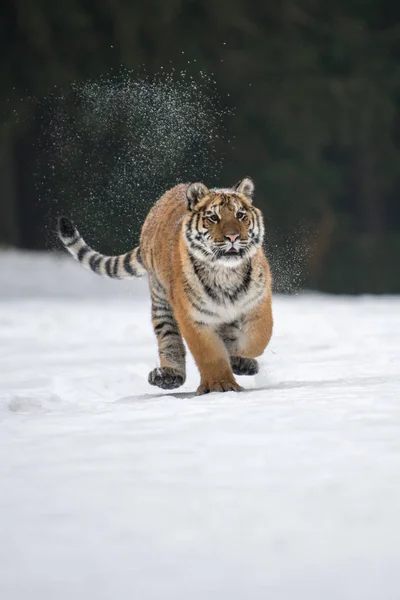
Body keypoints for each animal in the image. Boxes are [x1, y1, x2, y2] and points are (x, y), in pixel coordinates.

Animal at [57, 177, 274, 394]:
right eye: (213, 217)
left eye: (240, 215)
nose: (233, 237)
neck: (225, 273)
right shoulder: (193, 317)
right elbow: (209, 354)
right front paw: (220, 384)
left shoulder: (258, 303)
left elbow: (259, 337)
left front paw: (239, 358)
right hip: (161, 303)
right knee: (169, 340)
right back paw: (168, 375)